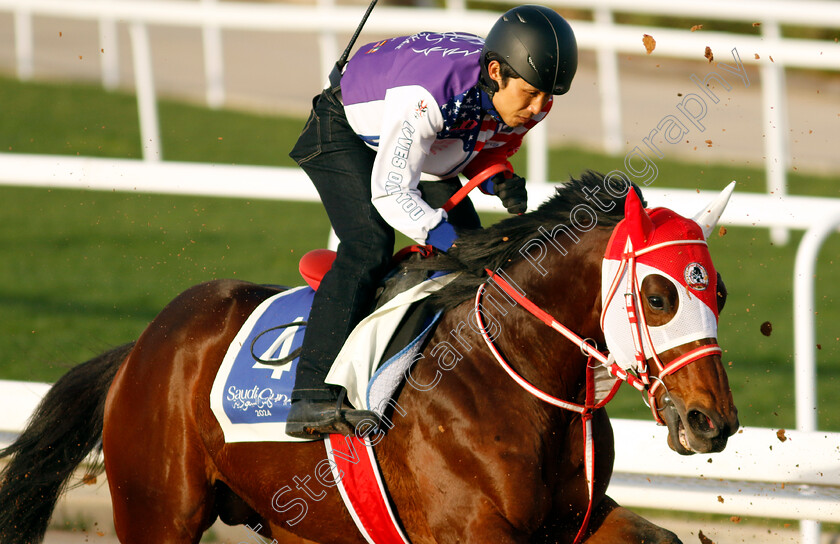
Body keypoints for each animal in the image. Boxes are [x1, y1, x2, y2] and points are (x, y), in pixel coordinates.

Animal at [0, 173, 736, 544]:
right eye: (660, 294)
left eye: (720, 292)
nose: (715, 421)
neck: (516, 379)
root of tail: (143, 347)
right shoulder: (470, 532)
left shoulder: (574, 519)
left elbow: (661, 539)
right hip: (157, 510)